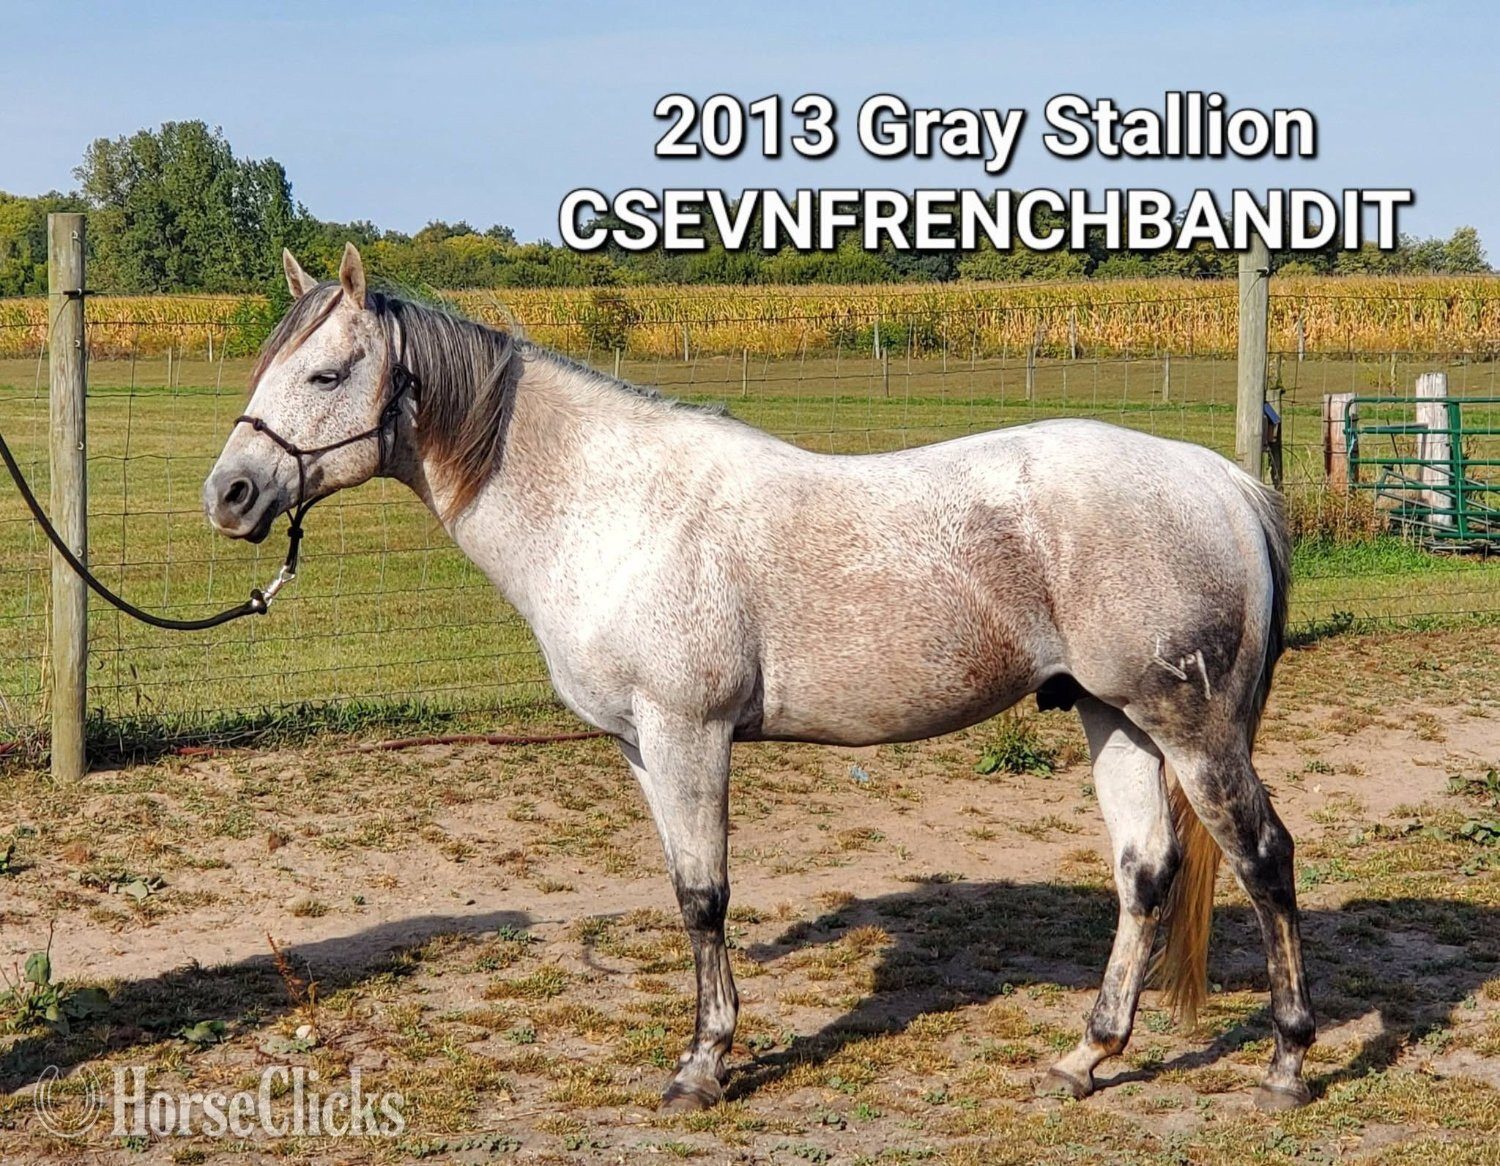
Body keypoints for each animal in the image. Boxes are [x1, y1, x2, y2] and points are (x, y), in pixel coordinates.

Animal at [203, 244, 1314, 1113]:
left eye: (328, 374)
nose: (231, 494)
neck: (610, 506)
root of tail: (1220, 479)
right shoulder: (641, 747)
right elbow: (682, 890)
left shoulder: (687, 732)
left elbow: (705, 896)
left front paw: (703, 1065)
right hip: (1112, 716)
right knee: (1145, 871)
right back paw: (1088, 1055)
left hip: (1191, 726)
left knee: (1263, 857)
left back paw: (1287, 1063)